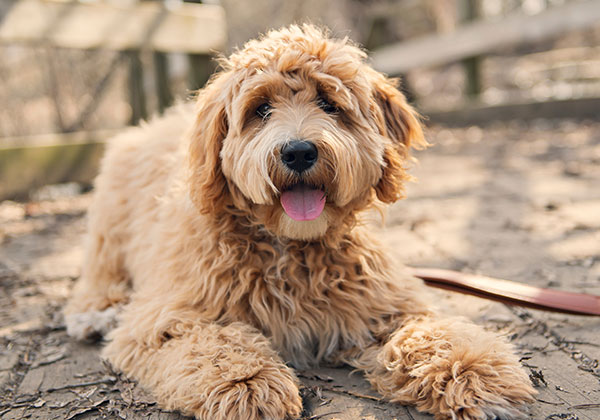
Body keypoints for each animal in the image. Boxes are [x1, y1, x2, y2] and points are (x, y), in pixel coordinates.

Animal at [64, 24, 536, 418]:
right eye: (260, 109)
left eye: (329, 103)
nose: (298, 151)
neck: (288, 247)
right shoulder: (165, 318)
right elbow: (212, 343)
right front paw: (248, 385)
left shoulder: (383, 304)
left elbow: (429, 332)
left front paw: (471, 370)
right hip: (109, 226)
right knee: (99, 273)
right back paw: (95, 313)